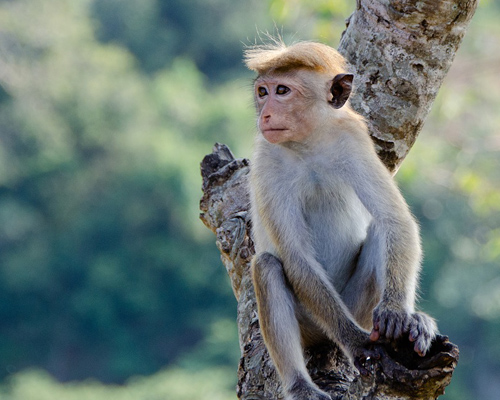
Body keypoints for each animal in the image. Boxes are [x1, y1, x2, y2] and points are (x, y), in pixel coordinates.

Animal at [243, 41, 438, 400]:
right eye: (263, 92)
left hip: (357, 306)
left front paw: (399, 314)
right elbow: (296, 255)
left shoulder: (353, 138)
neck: (308, 143)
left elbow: (394, 219)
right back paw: (300, 384)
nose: (265, 114)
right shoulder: (267, 160)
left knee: (379, 231)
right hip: (312, 322)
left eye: (281, 91)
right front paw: (355, 341)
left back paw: (413, 321)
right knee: (267, 266)